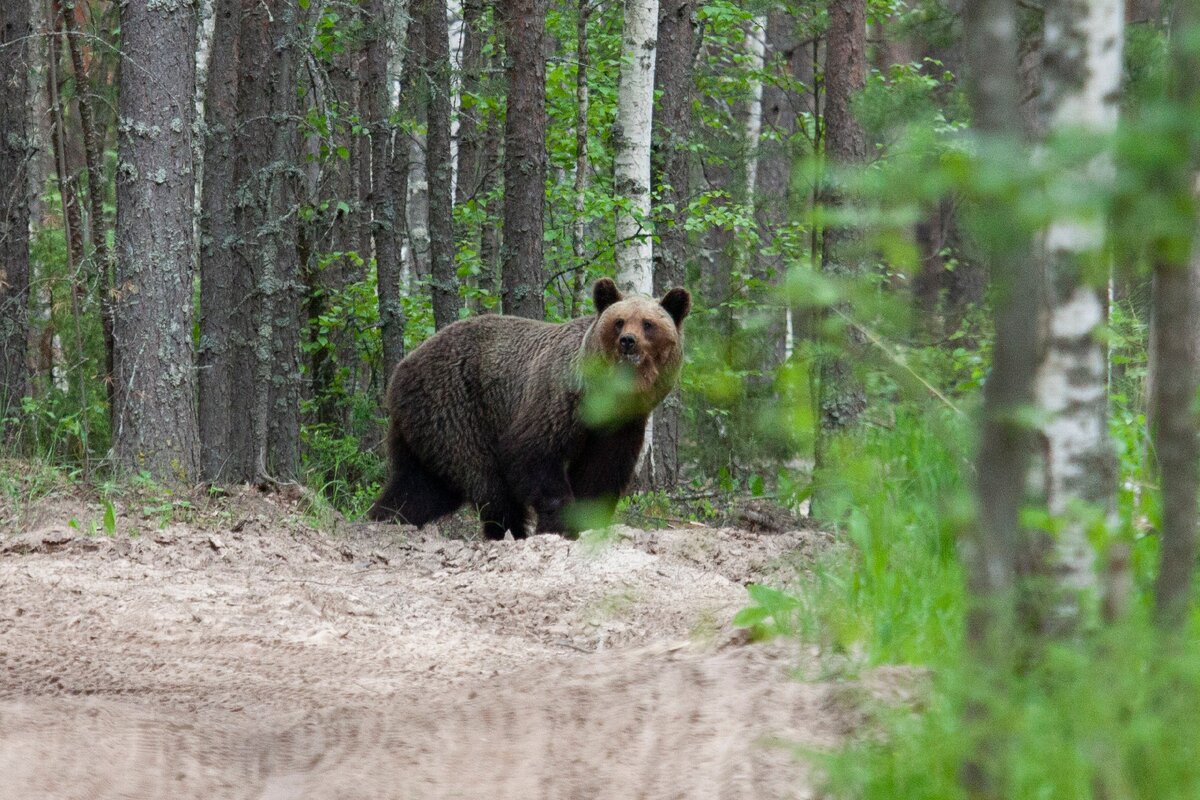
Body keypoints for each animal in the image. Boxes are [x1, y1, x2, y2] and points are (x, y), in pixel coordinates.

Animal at [364, 278, 691, 542]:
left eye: (648, 323)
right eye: (619, 321)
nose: (628, 341)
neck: (608, 398)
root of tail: (400, 370)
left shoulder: (620, 426)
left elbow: (602, 474)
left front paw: (586, 522)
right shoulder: (558, 400)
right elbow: (533, 454)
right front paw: (560, 524)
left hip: (424, 429)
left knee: (420, 486)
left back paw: (385, 518)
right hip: (456, 408)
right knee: (486, 482)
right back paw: (509, 532)